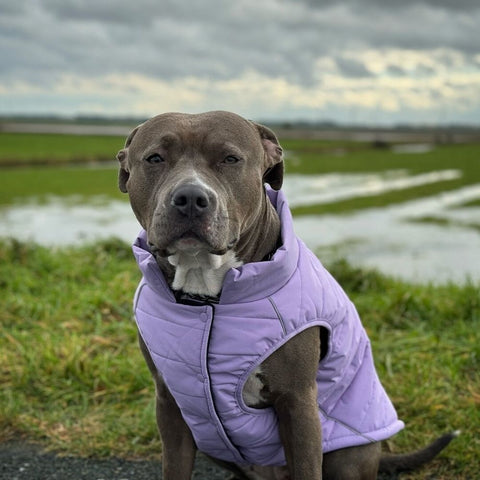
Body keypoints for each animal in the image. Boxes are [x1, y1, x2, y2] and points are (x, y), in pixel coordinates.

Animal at [117, 111, 458, 480]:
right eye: (154, 158)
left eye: (230, 159)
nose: (191, 198)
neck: (207, 296)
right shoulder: (170, 402)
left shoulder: (298, 403)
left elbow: (307, 464)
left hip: (348, 455)